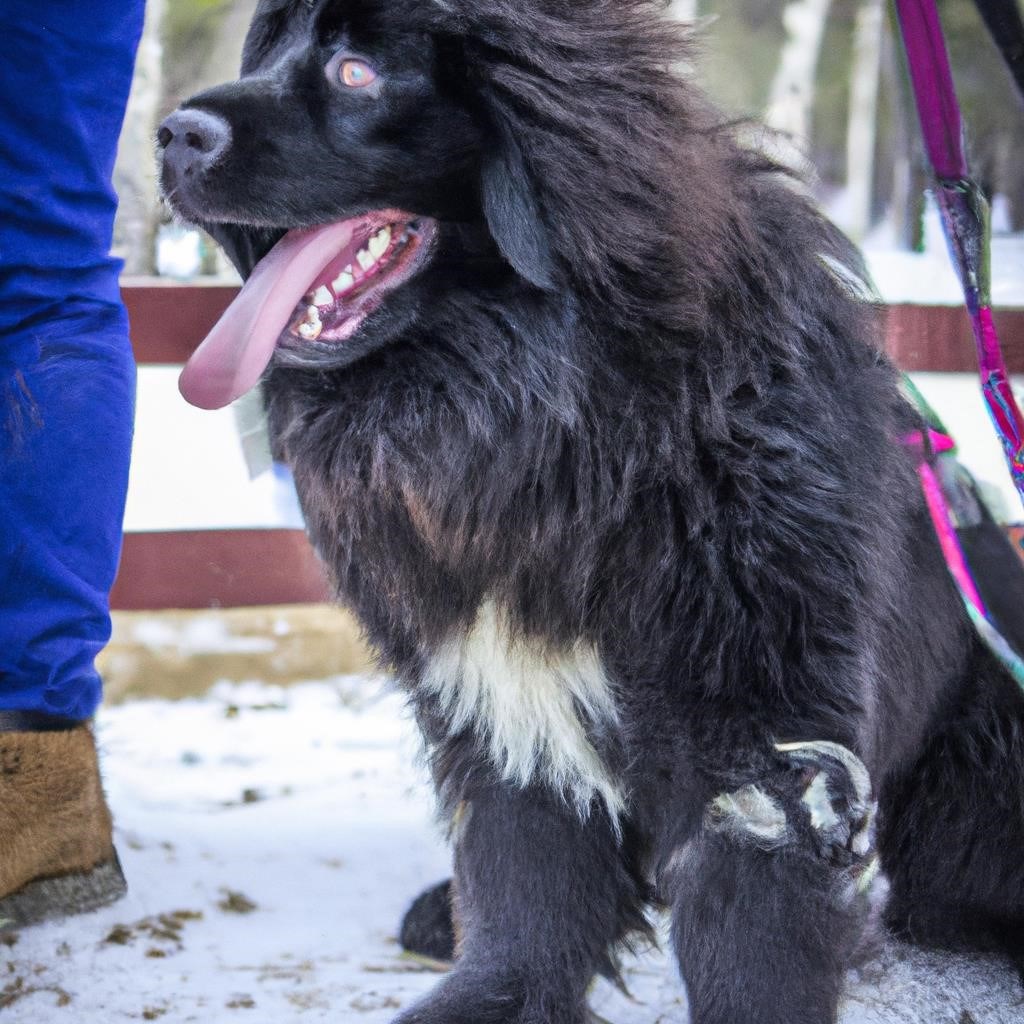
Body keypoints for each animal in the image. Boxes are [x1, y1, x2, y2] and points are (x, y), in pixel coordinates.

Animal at [157, 4, 1024, 1019]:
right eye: (277, 51)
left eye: (355, 71)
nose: (173, 134)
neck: (554, 418)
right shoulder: (498, 698)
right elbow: (525, 893)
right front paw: (491, 990)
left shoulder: (764, 727)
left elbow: (752, 933)